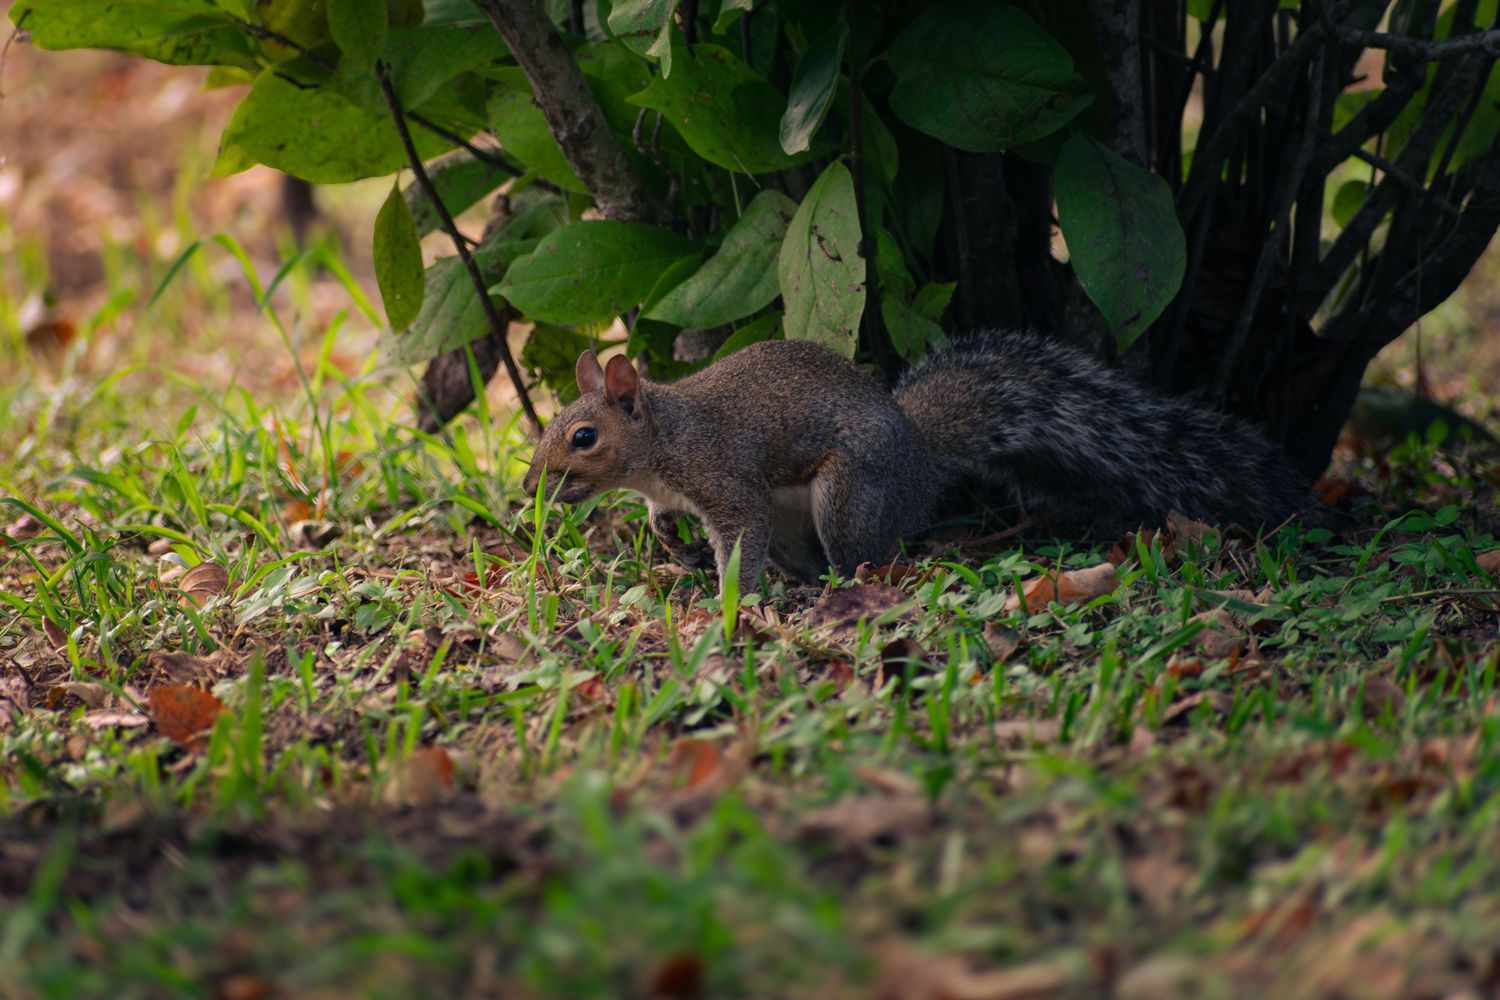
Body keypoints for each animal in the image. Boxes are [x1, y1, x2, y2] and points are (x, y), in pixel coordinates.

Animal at [521, 331, 1318, 593]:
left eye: (583, 437)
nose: (531, 486)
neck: (663, 441)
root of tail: (923, 462)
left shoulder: (724, 477)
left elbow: (738, 533)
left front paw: (727, 600)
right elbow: (664, 516)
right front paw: (669, 539)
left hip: (849, 494)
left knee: (862, 555)